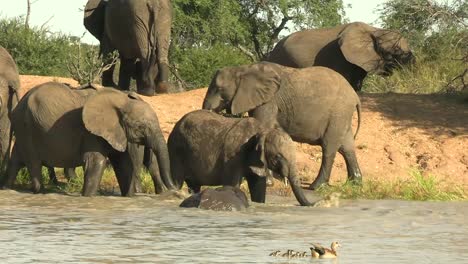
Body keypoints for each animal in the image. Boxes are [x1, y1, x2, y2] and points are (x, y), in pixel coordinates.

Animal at [166, 109, 312, 206]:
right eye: (278, 157)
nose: (313, 204)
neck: (262, 131)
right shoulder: (233, 156)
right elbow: (232, 184)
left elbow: (258, 187)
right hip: (175, 149)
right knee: (177, 180)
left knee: (194, 186)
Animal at [204, 63, 362, 192]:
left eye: (218, 88)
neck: (243, 69)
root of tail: (355, 96)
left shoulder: (268, 102)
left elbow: (262, 128)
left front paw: (267, 183)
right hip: (342, 116)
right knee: (347, 147)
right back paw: (355, 183)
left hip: (338, 113)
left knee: (329, 148)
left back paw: (315, 187)